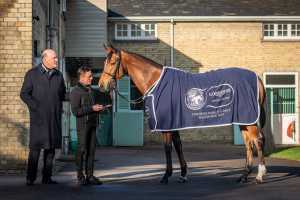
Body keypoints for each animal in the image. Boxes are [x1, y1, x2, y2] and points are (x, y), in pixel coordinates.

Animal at [99, 45, 268, 184]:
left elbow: (168, 148)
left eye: (113, 62)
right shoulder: (174, 124)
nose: (101, 85)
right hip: (243, 120)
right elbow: (178, 146)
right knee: (248, 144)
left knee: (258, 141)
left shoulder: (166, 125)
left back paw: (260, 175)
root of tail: (257, 79)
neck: (156, 82)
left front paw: (166, 176)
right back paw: (244, 176)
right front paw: (183, 175)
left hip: (249, 121)